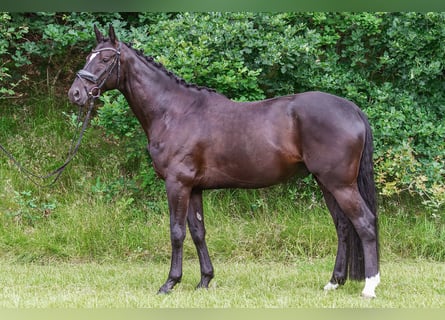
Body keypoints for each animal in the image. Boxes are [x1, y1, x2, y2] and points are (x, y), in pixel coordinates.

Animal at [67, 26, 380, 298]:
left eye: (105, 58)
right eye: (88, 56)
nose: (76, 93)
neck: (174, 112)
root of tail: (351, 109)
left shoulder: (177, 184)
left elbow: (177, 232)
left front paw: (170, 283)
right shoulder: (193, 188)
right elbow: (198, 232)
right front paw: (205, 280)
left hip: (340, 184)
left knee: (364, 223)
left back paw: (369, 287)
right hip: (326, 183)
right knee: (343, 226)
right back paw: (334, 282)